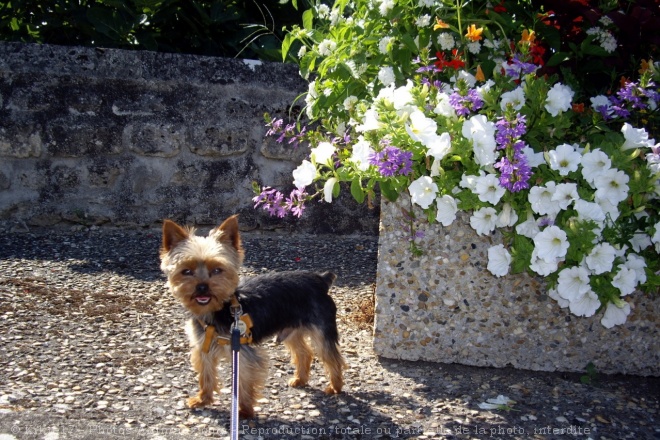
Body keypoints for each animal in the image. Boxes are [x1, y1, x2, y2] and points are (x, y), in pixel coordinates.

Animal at [160, 215, 346, 418]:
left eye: (217, 270)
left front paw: (244, 411)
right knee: (304, 353)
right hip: (291, 330)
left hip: (321, 329)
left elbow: (244, 381)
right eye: (186, 271)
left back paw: (335, 387)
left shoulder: (242, 351)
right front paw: (203, 400)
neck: (217, 310)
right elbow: (206, 375)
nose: (202, 287)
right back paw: (300, 379)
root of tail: (321, 279)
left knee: (332, 357)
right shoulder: (203, 347)